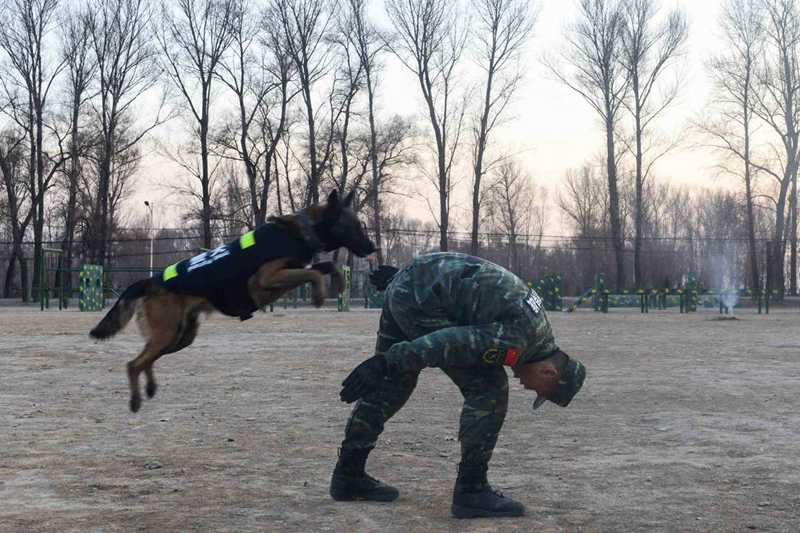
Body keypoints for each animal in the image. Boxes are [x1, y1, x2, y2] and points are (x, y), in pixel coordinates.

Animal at [89, 190, 376, 412]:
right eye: (354, 227)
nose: (373, 248)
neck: (299, 231)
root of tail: (151, 281)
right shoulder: (264, 281)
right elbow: (313, 271)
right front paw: (319, 293)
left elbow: (325, 265)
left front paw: (339, 282)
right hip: (168, 335)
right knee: (133, 364)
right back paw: (136, 399)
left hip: (179, 337)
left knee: (145, 360)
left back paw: (150, 387)